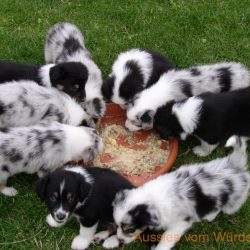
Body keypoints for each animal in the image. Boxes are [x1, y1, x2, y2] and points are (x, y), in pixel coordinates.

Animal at [113, 137, 250, 250]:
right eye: (118, 225)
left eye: (130, 229)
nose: (119, 240)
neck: (152, 198)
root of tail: (234, 164)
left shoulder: (180, 222)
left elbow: (167, 237)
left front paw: (160, 248)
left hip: (234, 202)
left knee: (224, 206)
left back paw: (210, 216)